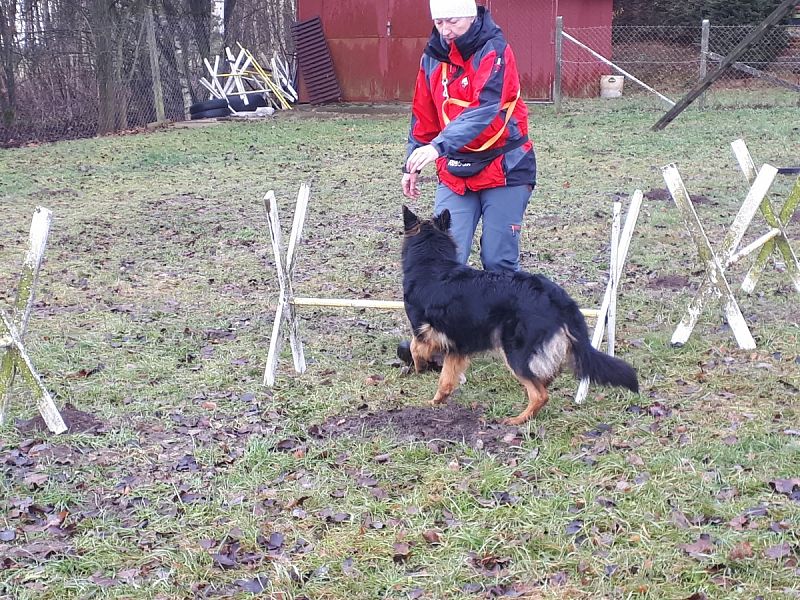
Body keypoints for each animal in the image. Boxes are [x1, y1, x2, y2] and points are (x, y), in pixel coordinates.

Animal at [404, 206, 640, 426]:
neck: (432, 264)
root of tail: (556, 296)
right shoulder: (459, 343)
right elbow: (446, 378)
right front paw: (437, 401)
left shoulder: (426, 331)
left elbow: (416, 347)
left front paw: (419, 368)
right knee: (544, 380)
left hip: (515, 352)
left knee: (540, 394)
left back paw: (517, 420)